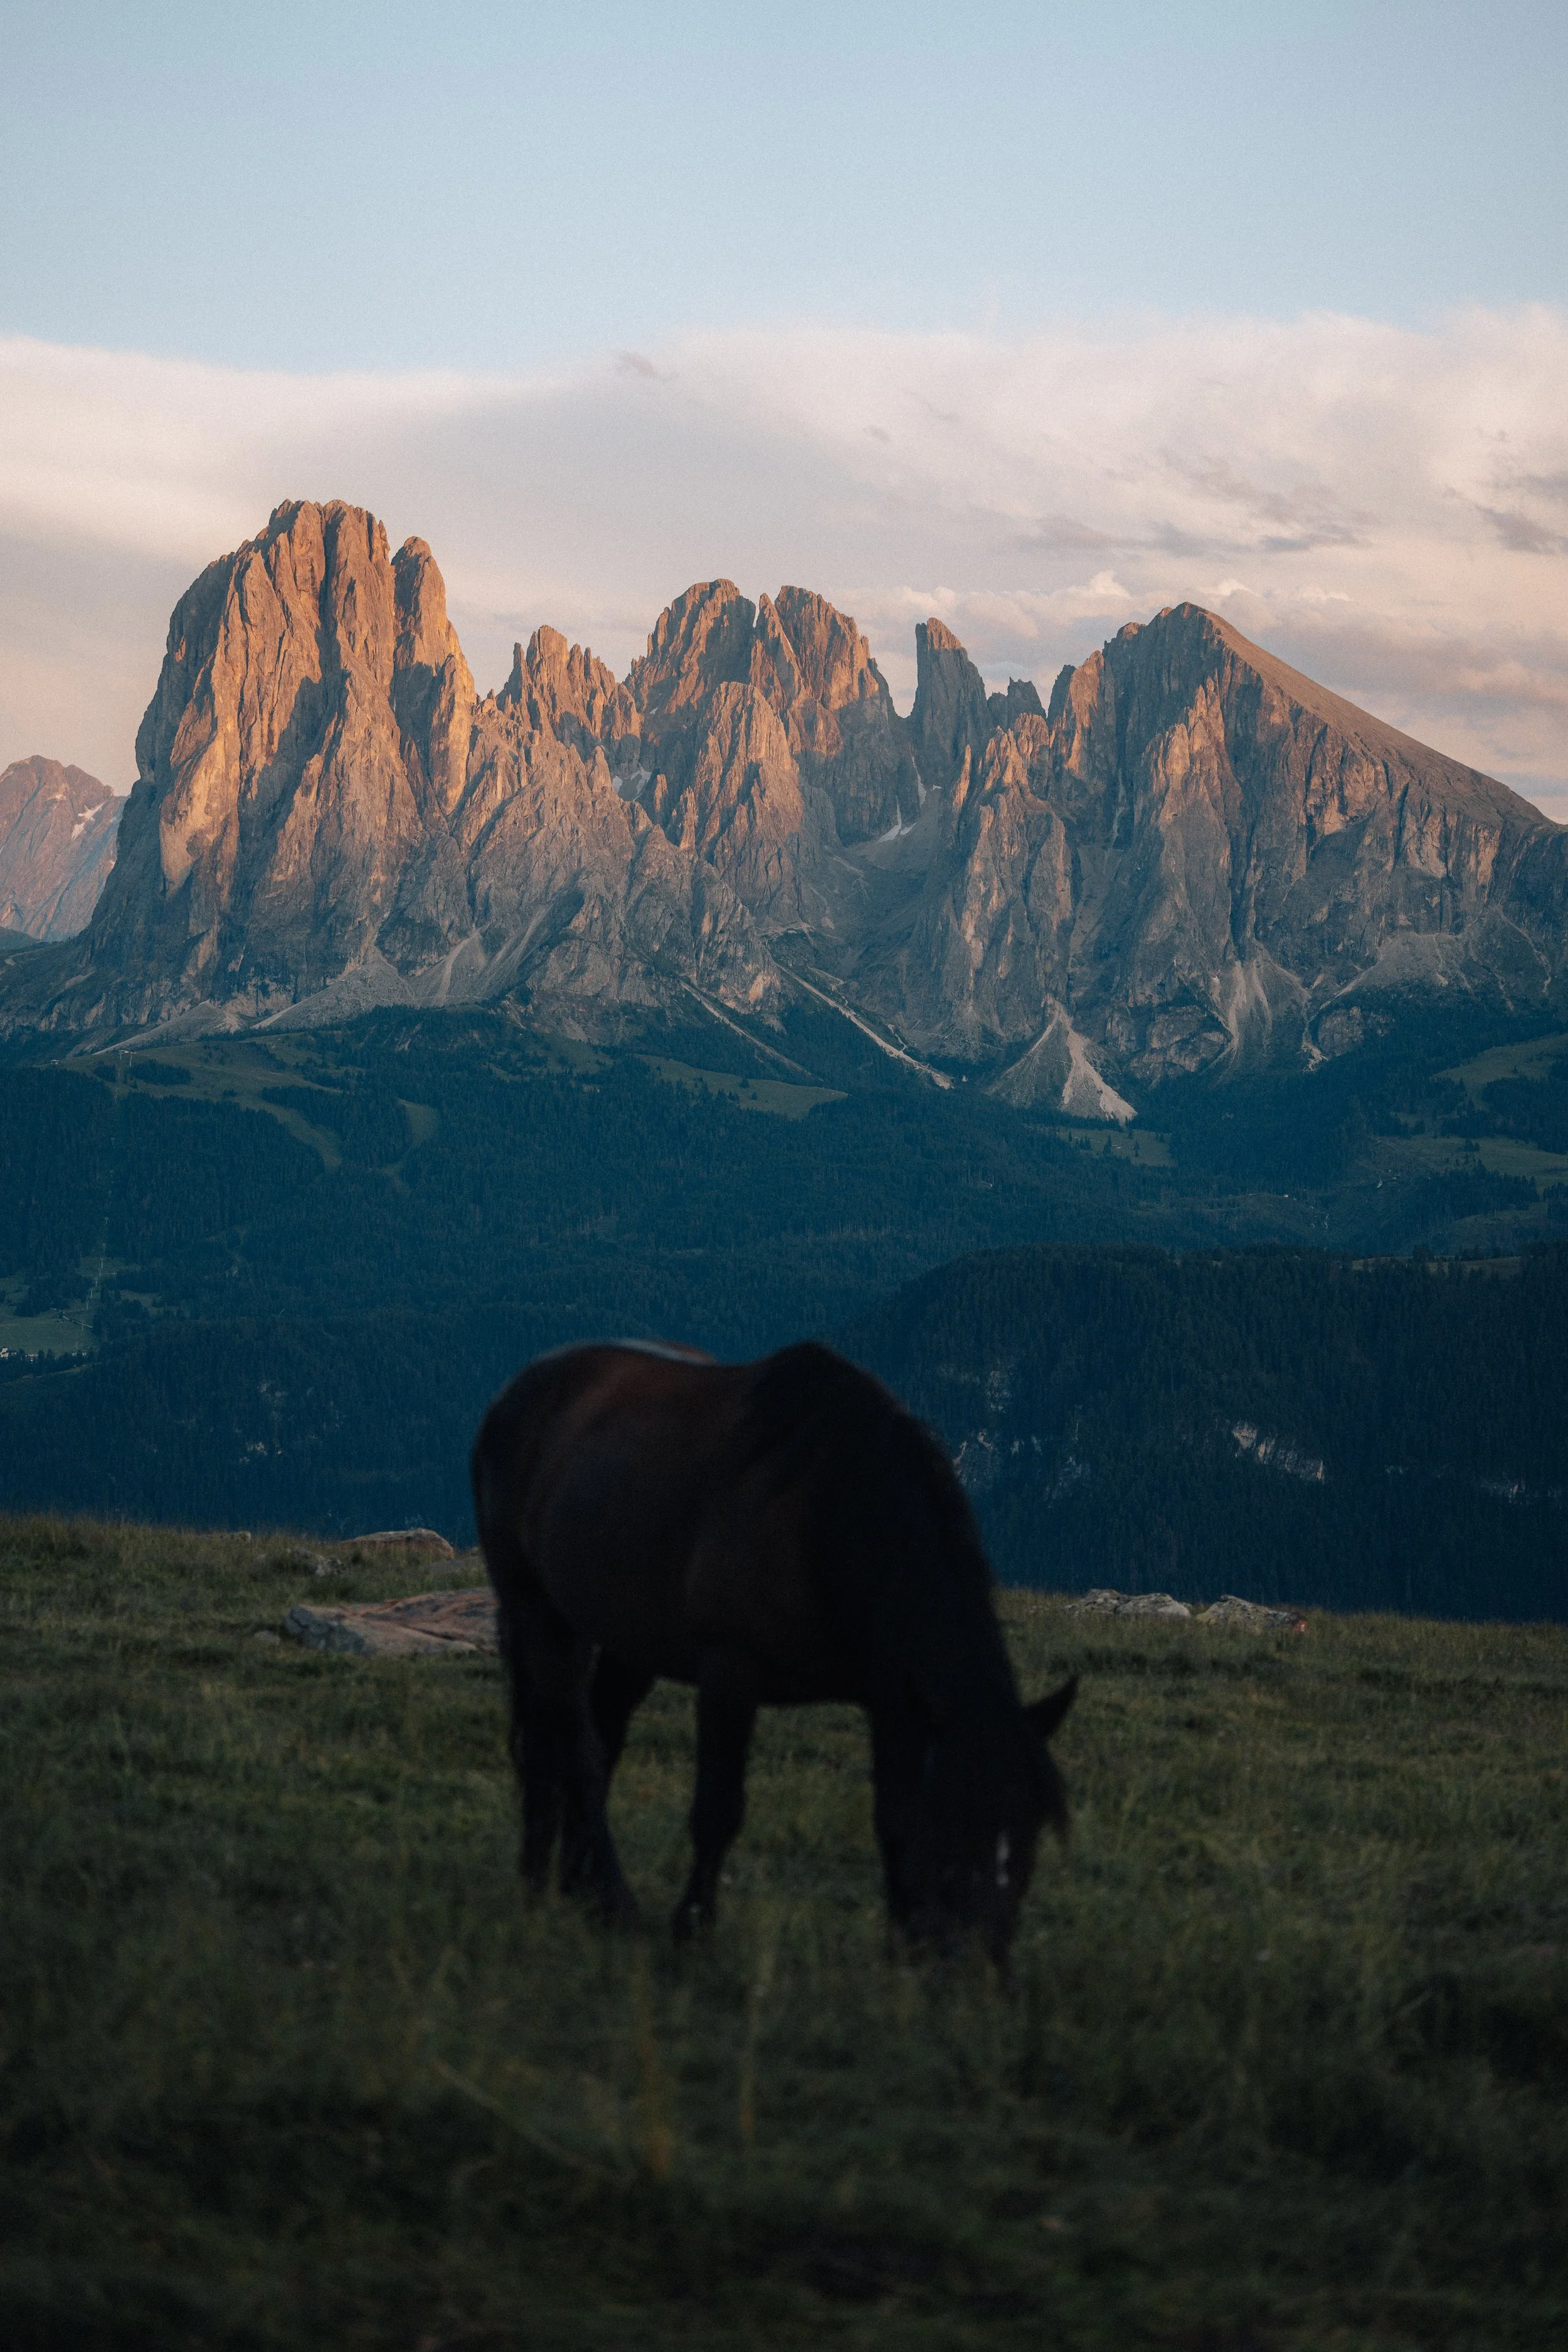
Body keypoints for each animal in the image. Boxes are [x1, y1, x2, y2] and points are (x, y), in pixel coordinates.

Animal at [470, 1337, 1077, 1960]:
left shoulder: (894, 1697)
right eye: (955, 1823)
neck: (825, 1520)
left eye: (1031, 1836)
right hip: (538, 1612)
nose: (975, 1966)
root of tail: (517, 1390)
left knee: (597, 1735)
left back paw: (572, 1885)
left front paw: (897, 1943)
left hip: (628, 1639)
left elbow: (892, 1817)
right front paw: (691, 1929)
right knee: (577, 1750)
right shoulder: (730, 1672)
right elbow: (718, 1810)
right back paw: (604, 1899)